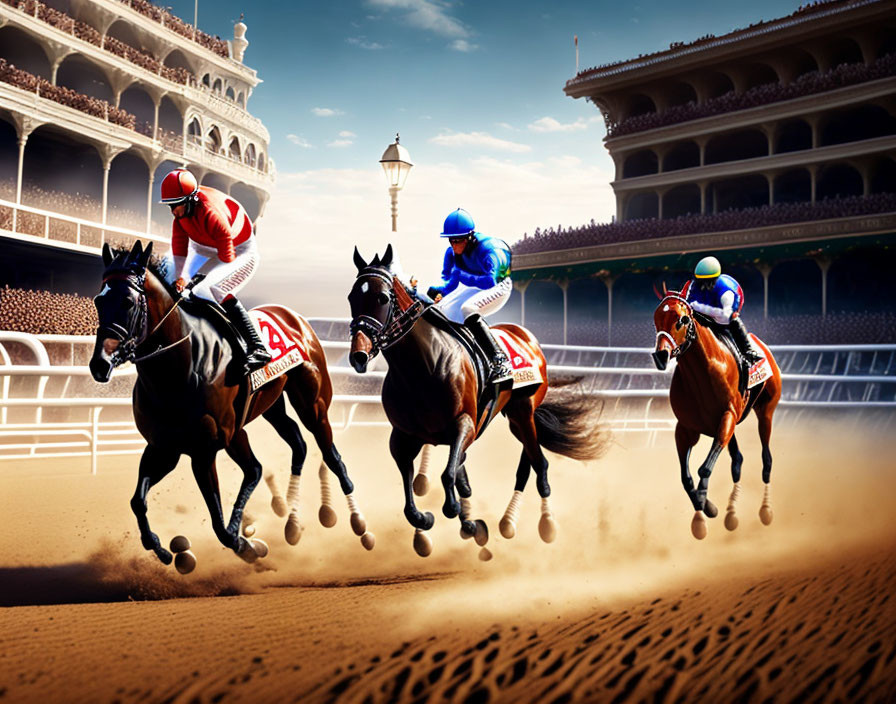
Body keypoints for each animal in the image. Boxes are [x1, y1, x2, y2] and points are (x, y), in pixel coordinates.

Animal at [88, 242, 374, 572]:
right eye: (99, 299)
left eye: (128, 301)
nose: (100, 364)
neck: (181, 364)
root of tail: (295, 317)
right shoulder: (165, 447)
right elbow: (137, 501)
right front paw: (161, 549)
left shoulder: (206, 449)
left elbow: (224, 516)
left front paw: (247, 546)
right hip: (270, 405)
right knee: (294, 445)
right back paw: (290, 521)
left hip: (312, 405)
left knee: (329, 455)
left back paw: (359, 524)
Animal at [346, 245, 604, 560]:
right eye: (352, 297)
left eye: (382, 298)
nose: (359, 355)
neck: (422, 367)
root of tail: (526, 337)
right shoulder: (403, 436)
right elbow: (414, 490)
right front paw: (433, 523)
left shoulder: (465, 423)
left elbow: (449, 476)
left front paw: (457, 514)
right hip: (515, 417)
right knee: (523, 462)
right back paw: (503, 521)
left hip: (523, 410)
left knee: (537, 463)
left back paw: (543, 523)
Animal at [652, 292, 784, 540]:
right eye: (656, 319)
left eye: (682, 319)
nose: (660, 356)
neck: (704, 372)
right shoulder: (685, 429)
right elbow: (685, 477)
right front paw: (704, 512)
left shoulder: (727, 417)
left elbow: (704, 468)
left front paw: (705, 506)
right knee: (738, 460)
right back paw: (731, 514)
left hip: (765, 412)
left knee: (767, 459)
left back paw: (766, 510)